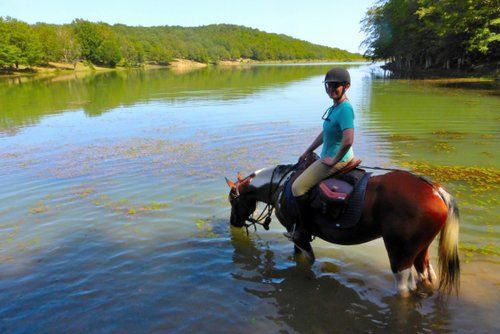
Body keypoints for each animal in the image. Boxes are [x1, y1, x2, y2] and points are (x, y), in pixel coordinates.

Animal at [227, 162, 460, 298]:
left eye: (232, 200)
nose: (234, 223)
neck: (282, 186)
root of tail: (435, 190)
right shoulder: (298, 237)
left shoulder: (301, 238)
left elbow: (307, 261)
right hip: (421, 250)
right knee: (427, 275)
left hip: (400, 255)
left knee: (404, 290)